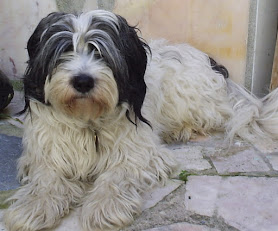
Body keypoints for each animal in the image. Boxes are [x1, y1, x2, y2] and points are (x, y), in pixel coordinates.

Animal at [3, 9, 278, 231]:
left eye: (101, 53)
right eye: (63, 51)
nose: (82, 81)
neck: (88, 120)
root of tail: (214, 65)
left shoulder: (139, 152)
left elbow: (116, 175)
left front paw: (105, 207)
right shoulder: (46, 153)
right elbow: (46, 179)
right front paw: (33, 208)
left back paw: (183, 130)